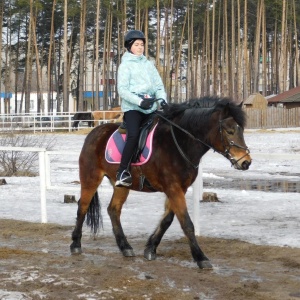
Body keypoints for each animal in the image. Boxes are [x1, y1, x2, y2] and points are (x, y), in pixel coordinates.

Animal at [69, 96, 251, 270]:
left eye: (241, 130)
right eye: (230, 131)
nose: (246, 162)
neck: (179, 143)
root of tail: (94, 133)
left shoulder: (179, 189)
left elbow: (167, 220)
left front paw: (150, 248)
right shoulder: (173, 188)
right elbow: (187, 223)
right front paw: (201, 258)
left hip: (121, 185)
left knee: (113, 210)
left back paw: (125, 247)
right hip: (91, 178)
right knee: (82, 207)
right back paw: (76, 244)